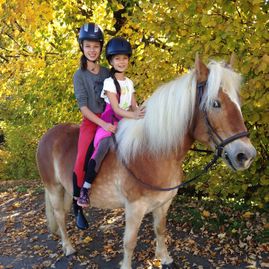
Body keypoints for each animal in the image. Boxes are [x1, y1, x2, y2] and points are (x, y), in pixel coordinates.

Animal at [36, 55, 255, 266]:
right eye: (215, 103)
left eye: (238, 102)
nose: (246, 155)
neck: (152, 153)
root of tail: (47, 135)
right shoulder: (135, 208)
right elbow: (129, 242)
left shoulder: (163, 203)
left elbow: (160, 230)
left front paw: (164, 258)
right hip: (54, 188)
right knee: (60, 215)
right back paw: (68, 247)